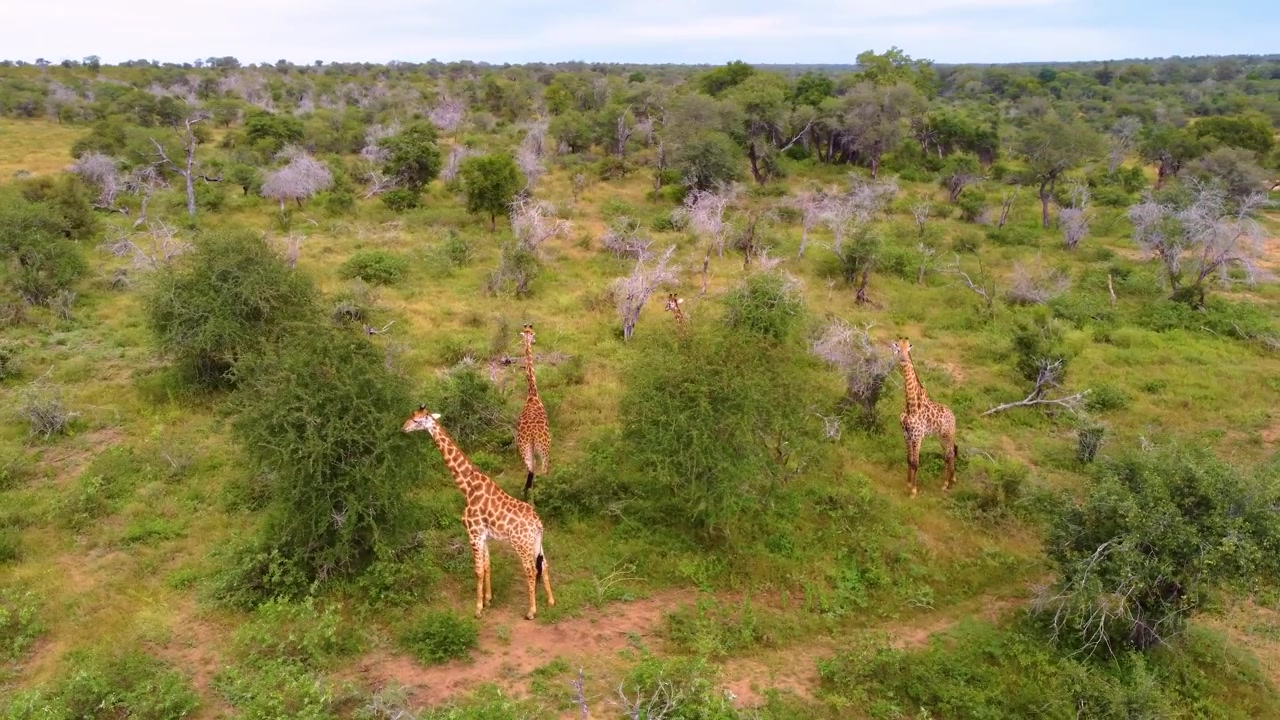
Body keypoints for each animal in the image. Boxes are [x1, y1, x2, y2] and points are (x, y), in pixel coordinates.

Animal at [403, 405, 555, 620]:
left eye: (416, 420)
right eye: (411, 417)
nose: (403, 428)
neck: (467, 487)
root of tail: (538, 524)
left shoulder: (473, 533)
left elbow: (477, 570)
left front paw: (477, 609)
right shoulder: (484, 535)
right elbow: (487, 565)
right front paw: (488, 600)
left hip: (521, 544)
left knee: (531, 570)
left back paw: (531, 611)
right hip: (536, 542)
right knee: (545, 565)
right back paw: (550, 601)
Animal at [891, 338, 958, 498]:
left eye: (908, 349)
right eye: (897, 349)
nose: (903, 359)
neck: (911, 405)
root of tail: (953, 416)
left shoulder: (917, 436)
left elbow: (915, 462)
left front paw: (913, 491)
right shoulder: (906, 434)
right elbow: (909, 460)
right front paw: (908, 485)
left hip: (948, 434)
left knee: (950, 454)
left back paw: (947, 483)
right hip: (941, 437)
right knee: (948, 454)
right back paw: (950, 480)